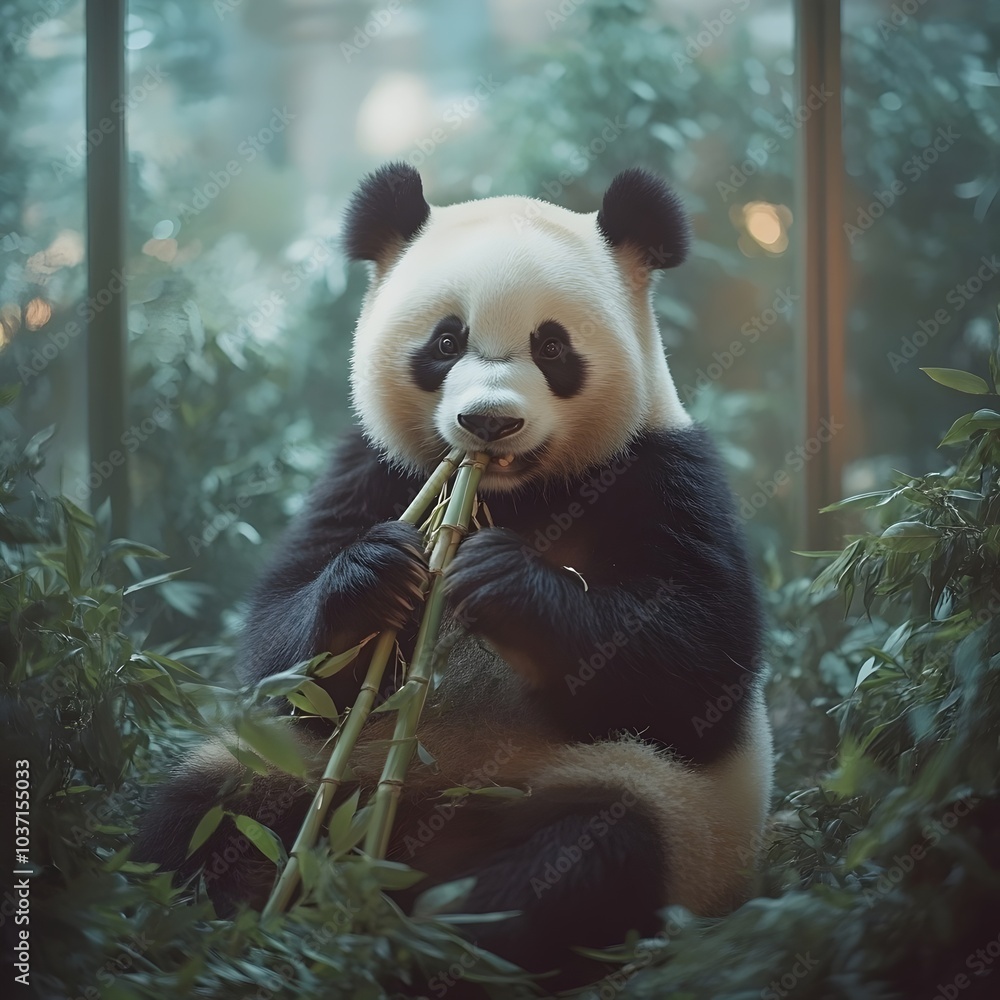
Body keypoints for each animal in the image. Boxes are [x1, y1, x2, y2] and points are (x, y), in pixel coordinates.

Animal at [136, 162, 773, 979]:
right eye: (446, 341)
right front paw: (377, 574)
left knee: (587, 857)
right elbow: (284, 663)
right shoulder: (374, 469)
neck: (513, 494)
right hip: (306, 777)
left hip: (647, 810)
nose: (489, 422)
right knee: (201, 816)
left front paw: (504, 582)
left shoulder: (662, 473)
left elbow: (700, 667)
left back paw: (433, 942)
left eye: (552, 347)